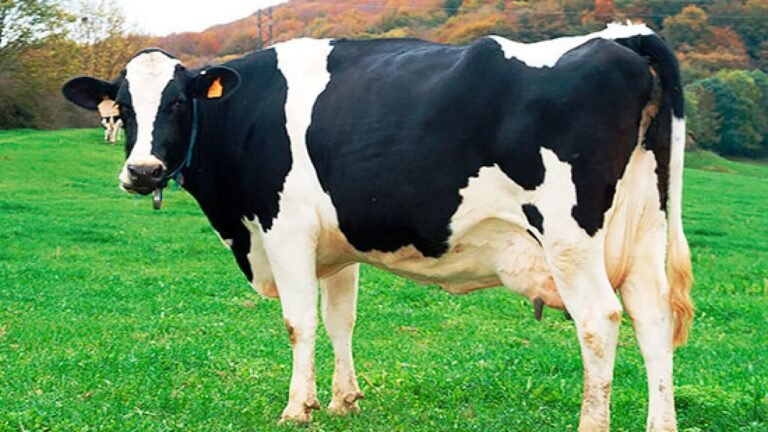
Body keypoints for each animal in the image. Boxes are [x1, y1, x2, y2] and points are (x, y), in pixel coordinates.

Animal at [61, 23, 693, 431]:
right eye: (122, 108)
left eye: (177, 103)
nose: (142, 172)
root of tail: (623, 38)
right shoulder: (336, 248)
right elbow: (340, 320)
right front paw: (345, 400)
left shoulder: (285, 229)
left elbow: (299, 322)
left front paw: (298, 408)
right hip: (644, 229)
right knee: (653, 319)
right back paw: (660, 425)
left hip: (569, 236)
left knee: (601, 321)